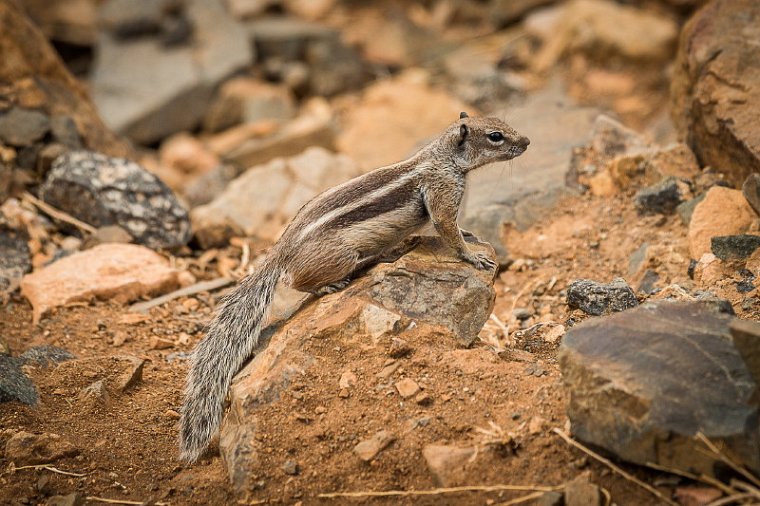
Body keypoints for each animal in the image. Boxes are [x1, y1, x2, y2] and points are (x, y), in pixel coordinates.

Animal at [180, 112, 528, 460]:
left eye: (502, 123)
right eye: (495, 136)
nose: (526, 142)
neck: (443, 156)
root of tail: (280, 250)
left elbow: (453, 229)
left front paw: (469, 235)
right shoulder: (442, 193)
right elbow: (446, 228)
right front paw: (473, 256)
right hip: (341, 255)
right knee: (297, 280)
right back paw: (341, 279)